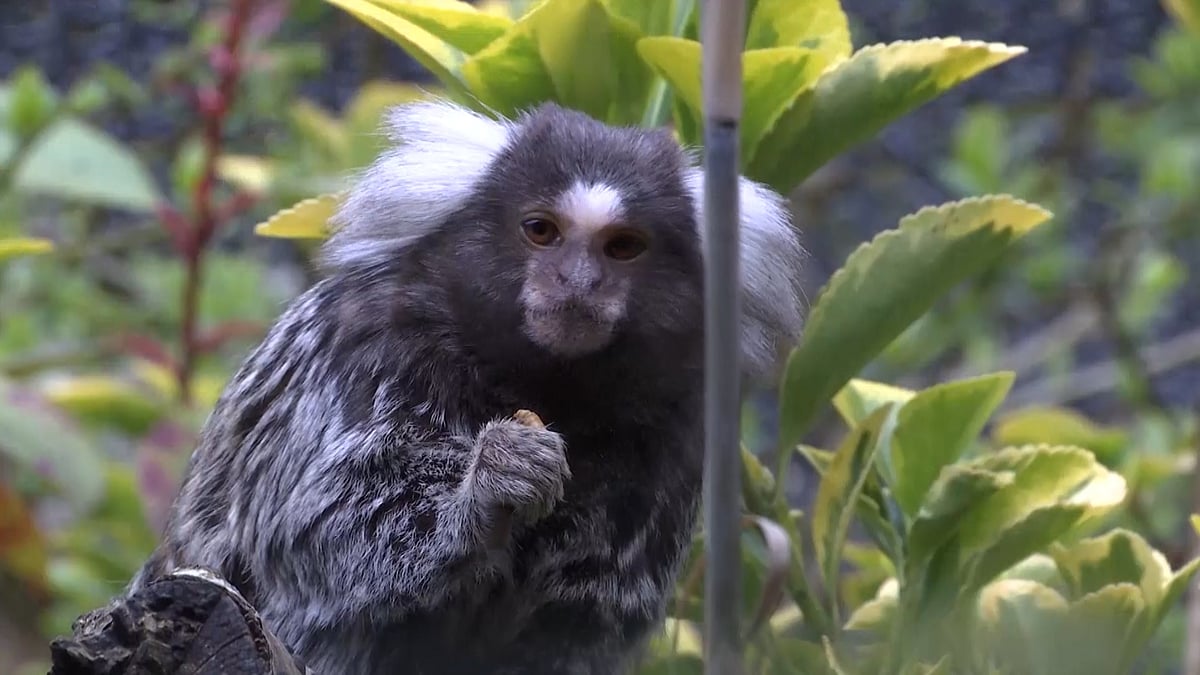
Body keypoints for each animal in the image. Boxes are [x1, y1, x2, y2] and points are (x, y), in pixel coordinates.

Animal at [128, 99, 806, 674]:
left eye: (622, 247)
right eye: (541, 230)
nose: (578, 283)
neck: (548, 388)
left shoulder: (678, 433)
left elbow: (583, 613)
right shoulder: (364, 351)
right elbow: (323, 531)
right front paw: (489, 488)